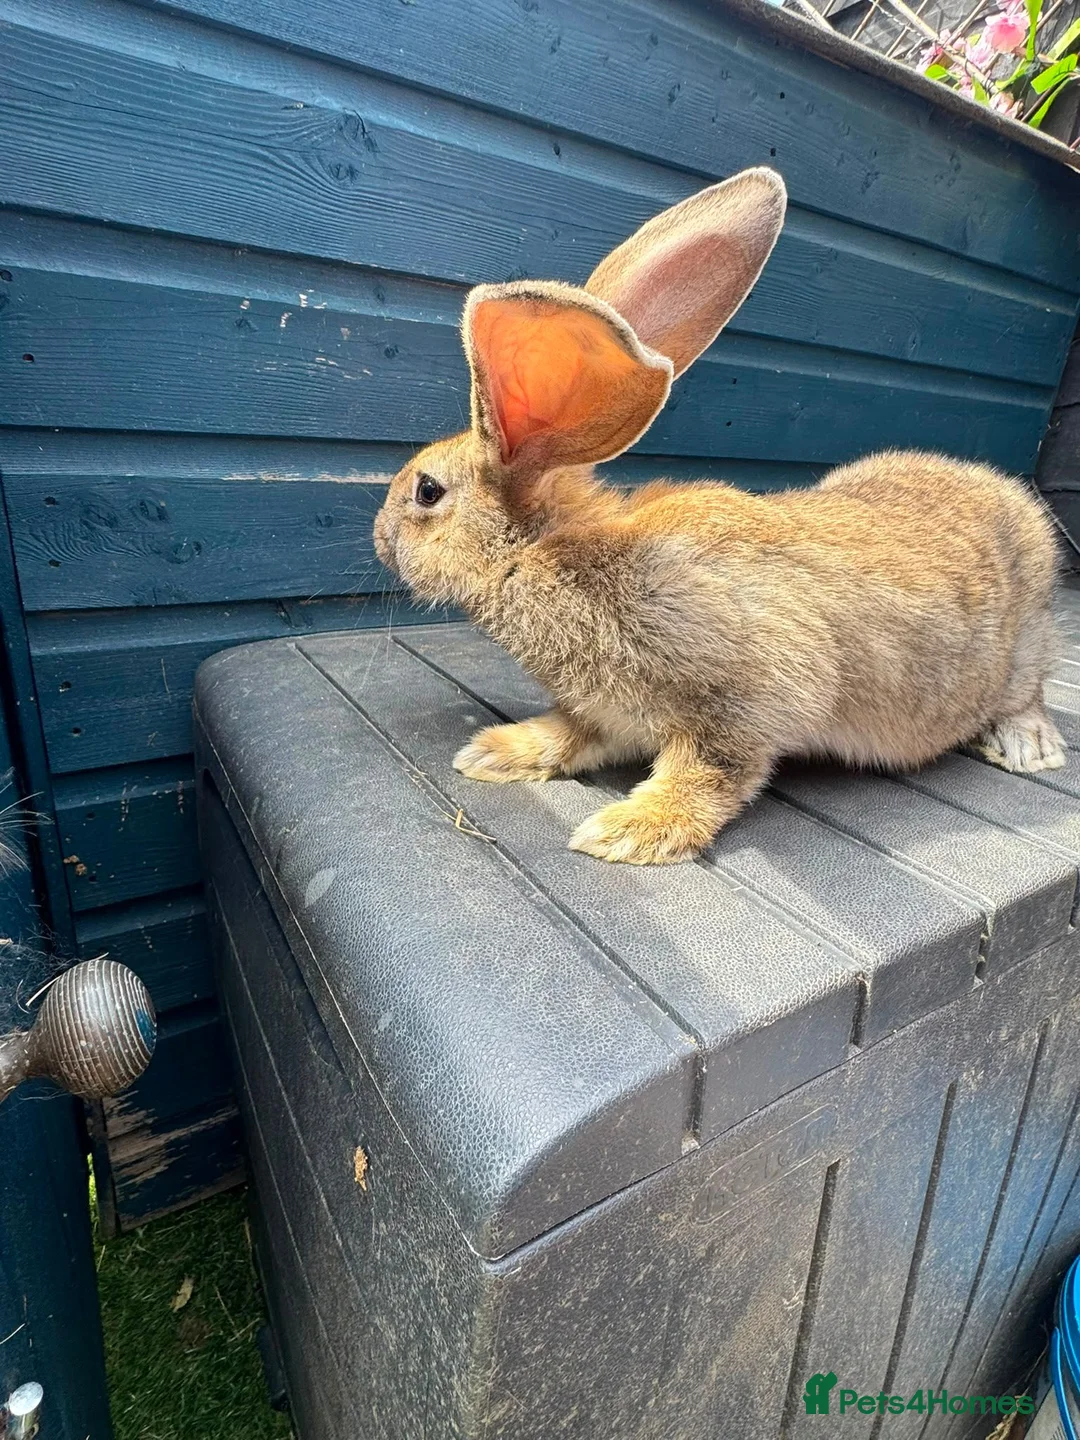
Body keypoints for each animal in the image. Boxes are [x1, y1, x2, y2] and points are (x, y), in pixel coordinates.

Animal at [373, 167, 1064, 865]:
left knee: (1027, 691)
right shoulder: (604, 711)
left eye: (427, 491)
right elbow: (571, 735)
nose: (378, 537)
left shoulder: (746, 700)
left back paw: (1030, 747)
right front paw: (494, 753)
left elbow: (711, 772)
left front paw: (631, 830)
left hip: (1024, 641)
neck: (546, 552)